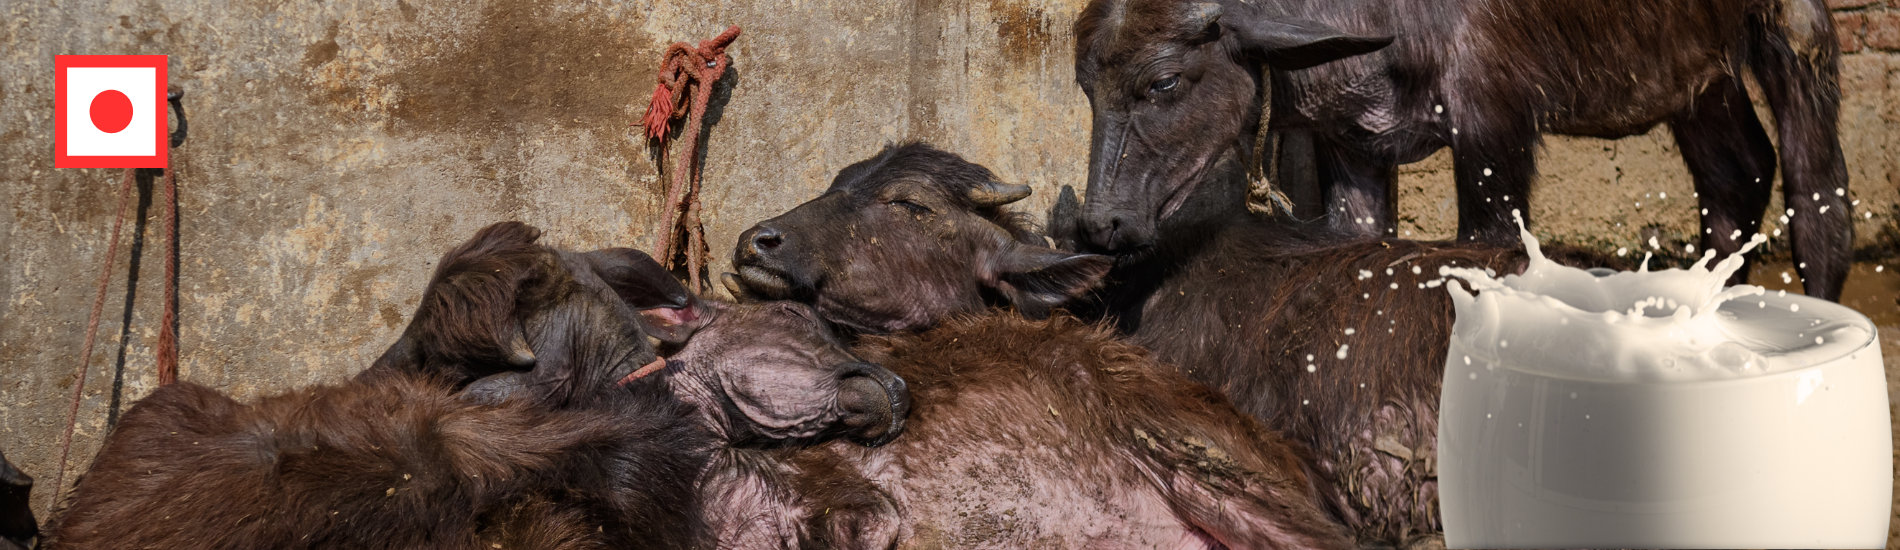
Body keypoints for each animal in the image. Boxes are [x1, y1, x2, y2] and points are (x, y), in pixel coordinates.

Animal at [1069, 0, 1852, 301]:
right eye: (1084, 84)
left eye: (1163, 81)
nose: (1103, 223)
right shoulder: (1352, 148)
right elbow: (1357, 250)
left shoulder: (1493, 131)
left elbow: (1487, 253)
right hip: (1699, 79)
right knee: (1736, 176)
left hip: (1796, 32)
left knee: (1819, 201)